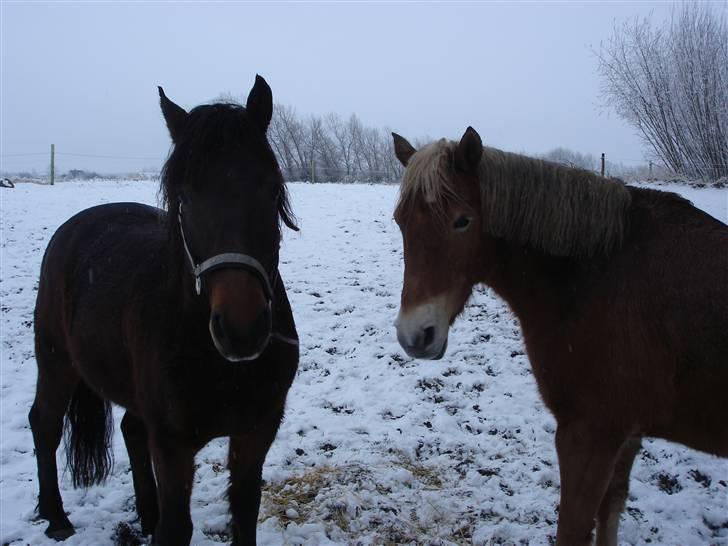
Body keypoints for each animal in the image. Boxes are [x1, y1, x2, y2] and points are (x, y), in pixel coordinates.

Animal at [30, 74, 298, 540]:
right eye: (185, 199)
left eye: (270, 190)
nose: (242, 329)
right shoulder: (173, 446)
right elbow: (177, 527)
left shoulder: (257, 430)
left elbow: (245, 510)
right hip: (56, 360)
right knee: (44, 423)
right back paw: (57, 517)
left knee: (131, 430)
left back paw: (145, 512)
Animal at [392, 126, 728, 544]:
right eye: (400, 221)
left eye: (462, 221)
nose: (414, 336)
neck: (594, 275)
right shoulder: (626, 435)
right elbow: (610, 511)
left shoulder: (589, 433)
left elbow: (574, 528)